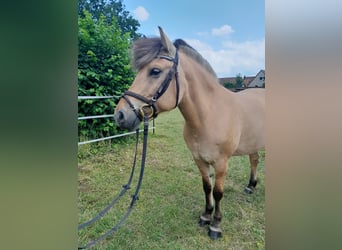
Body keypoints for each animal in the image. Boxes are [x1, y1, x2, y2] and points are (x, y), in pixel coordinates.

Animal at [114, 26, 264, 239]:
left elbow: (218, 192)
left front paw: (216, 225)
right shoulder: (199, 159)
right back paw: (251, 186)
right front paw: (206, 216)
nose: (119, 115)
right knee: (254, 160)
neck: (209, 115)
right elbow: (207, 187)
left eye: (155, 71)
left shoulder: (221, 163)